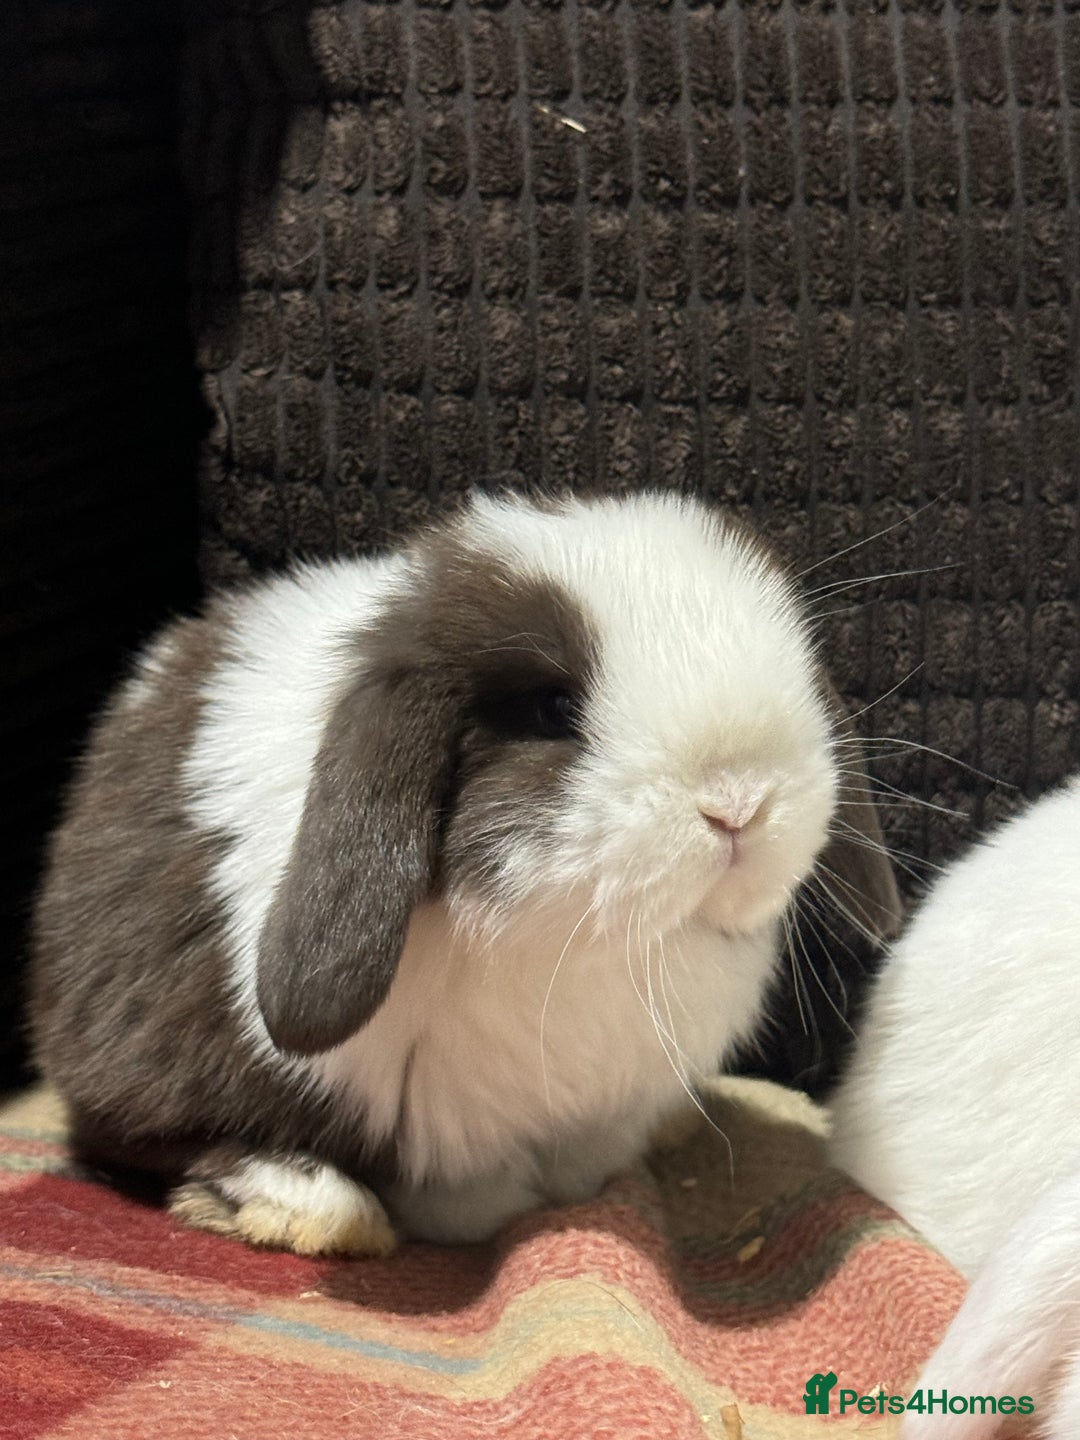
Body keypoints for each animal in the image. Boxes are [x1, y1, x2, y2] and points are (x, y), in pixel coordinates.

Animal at [30, 490, 900, 1257]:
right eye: (553, 710)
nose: (739, 802)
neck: (598, 950)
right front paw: (483, 1211)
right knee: (141, 1131)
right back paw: (319, 1210)